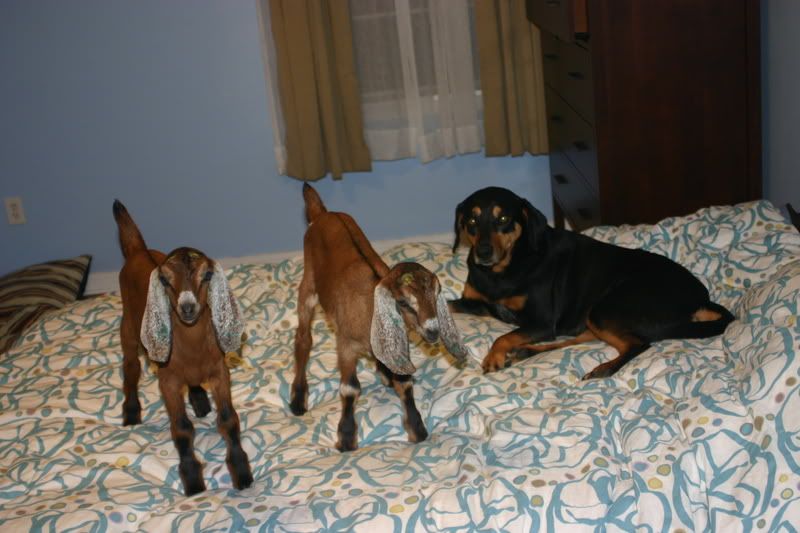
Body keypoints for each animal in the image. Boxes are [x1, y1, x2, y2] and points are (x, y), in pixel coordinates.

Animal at [113, 200, 253, 496]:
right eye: (165, 280)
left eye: (207, 275)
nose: (187, 307)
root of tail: (137, 251)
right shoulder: (167, 381)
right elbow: (181, 428)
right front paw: (193, 480)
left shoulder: (220, 372)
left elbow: (228, 419)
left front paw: (242, 472)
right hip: (128, 327)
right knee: (130, 366)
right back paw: (131, 412)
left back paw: (199, 400)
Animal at [290, 185, 468, 451]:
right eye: (403, 302)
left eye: (437, 293)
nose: (433, 331)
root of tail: (323, 214)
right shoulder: (345, 345)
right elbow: (350, 388)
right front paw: (346, 438)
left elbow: (404, 382)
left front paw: (417, 430)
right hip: (308, 283)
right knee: (303, 337)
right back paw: (298, 399)